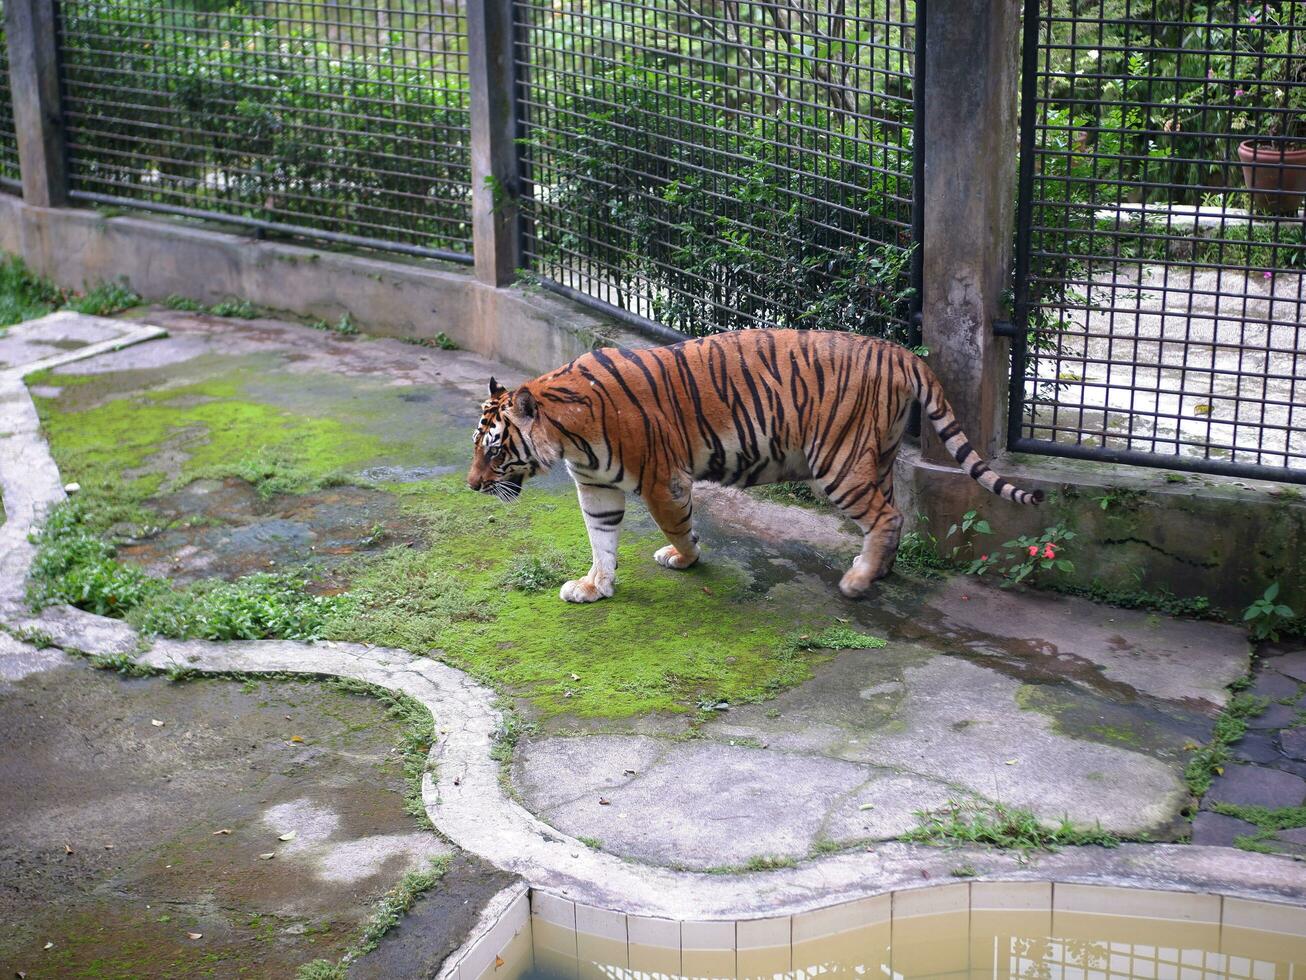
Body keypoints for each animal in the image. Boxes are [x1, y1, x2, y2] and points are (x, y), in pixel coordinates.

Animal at [467, 330, 1039, 603]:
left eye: (494, 450)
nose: (471, 486)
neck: (568, 436)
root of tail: (900, 352)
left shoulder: (661, 479)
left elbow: (678, 525)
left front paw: (686, 558)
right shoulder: (596, 486)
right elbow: (601, 539)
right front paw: (594, 587)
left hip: (840, 461)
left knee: (888, 517)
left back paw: (857, 581)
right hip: (875, 456)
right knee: (892, 514)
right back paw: (878, 571)